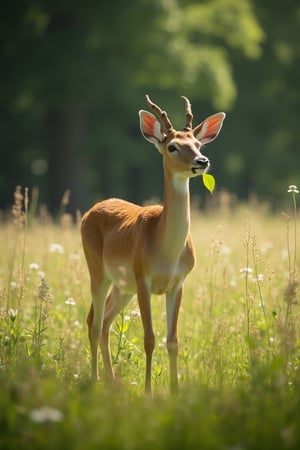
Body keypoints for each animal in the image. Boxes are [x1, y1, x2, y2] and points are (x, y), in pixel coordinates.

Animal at [80, 96, 225, 394]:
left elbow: (173, 340)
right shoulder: (142, 277)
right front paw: (148, 392)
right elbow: (149, 339)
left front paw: (175, 390)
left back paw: (112, 381)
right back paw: (96, 381)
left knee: (105, 322)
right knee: (94, 322)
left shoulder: (178, 283)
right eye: (172, 146)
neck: (166, 251)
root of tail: (89, 211)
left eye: (198, 143)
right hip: (97, 270)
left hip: (123, 287)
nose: (202, 161)